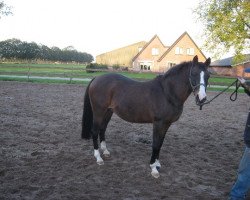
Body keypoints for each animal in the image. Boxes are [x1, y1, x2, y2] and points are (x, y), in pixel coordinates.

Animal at [82, 55, 211, 178]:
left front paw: (157, 164)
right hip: (99, 111)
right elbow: (156, 144)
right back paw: (98, 157)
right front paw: (153, 168)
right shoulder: (159, 123)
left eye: (208, 75)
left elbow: (160, 143)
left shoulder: (166, 124)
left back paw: (105, 151)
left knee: (102, 129)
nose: (202, 98)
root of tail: (97, 78)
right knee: (95, 131)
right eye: (193, 73)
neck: (167, 93)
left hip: (108, 112)